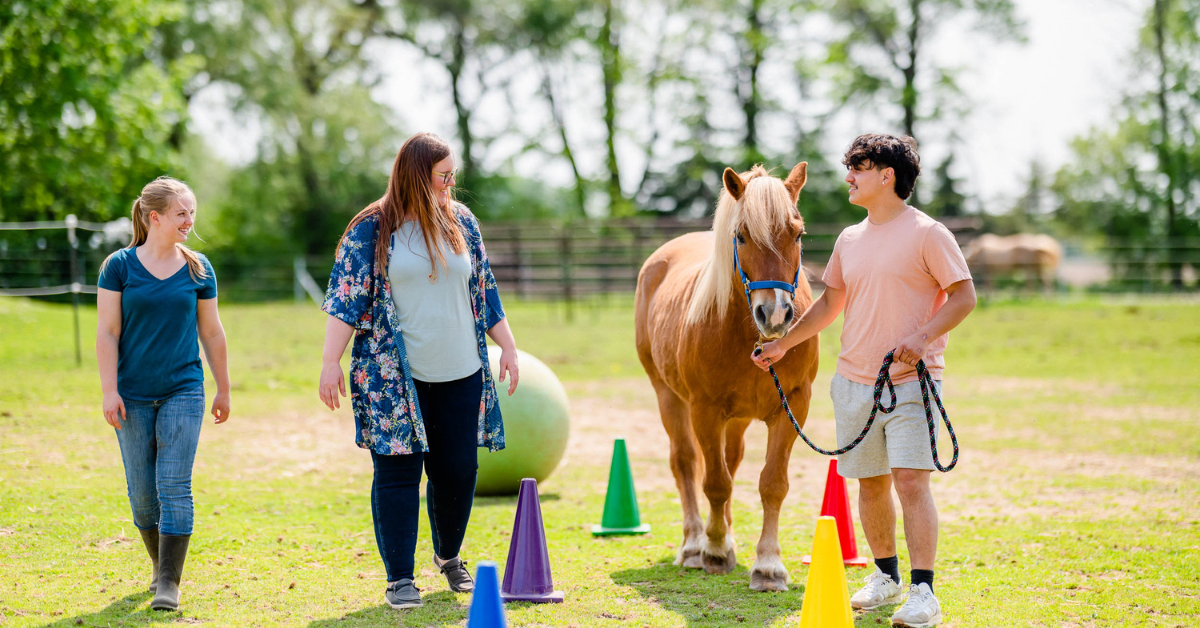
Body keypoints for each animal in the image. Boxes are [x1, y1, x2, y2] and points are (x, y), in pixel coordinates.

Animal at [634, 163, 819, 592]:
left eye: (798, 234)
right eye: (742, 235)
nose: (775, 316)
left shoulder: (793, 405)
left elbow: (772, 483)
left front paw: (768, 566)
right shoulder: (705, 409)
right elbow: (714, 481)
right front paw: (715, 550)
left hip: (738, 419)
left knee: (730, 461)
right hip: (668, 397)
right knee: (686, 463)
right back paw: (694, 545)